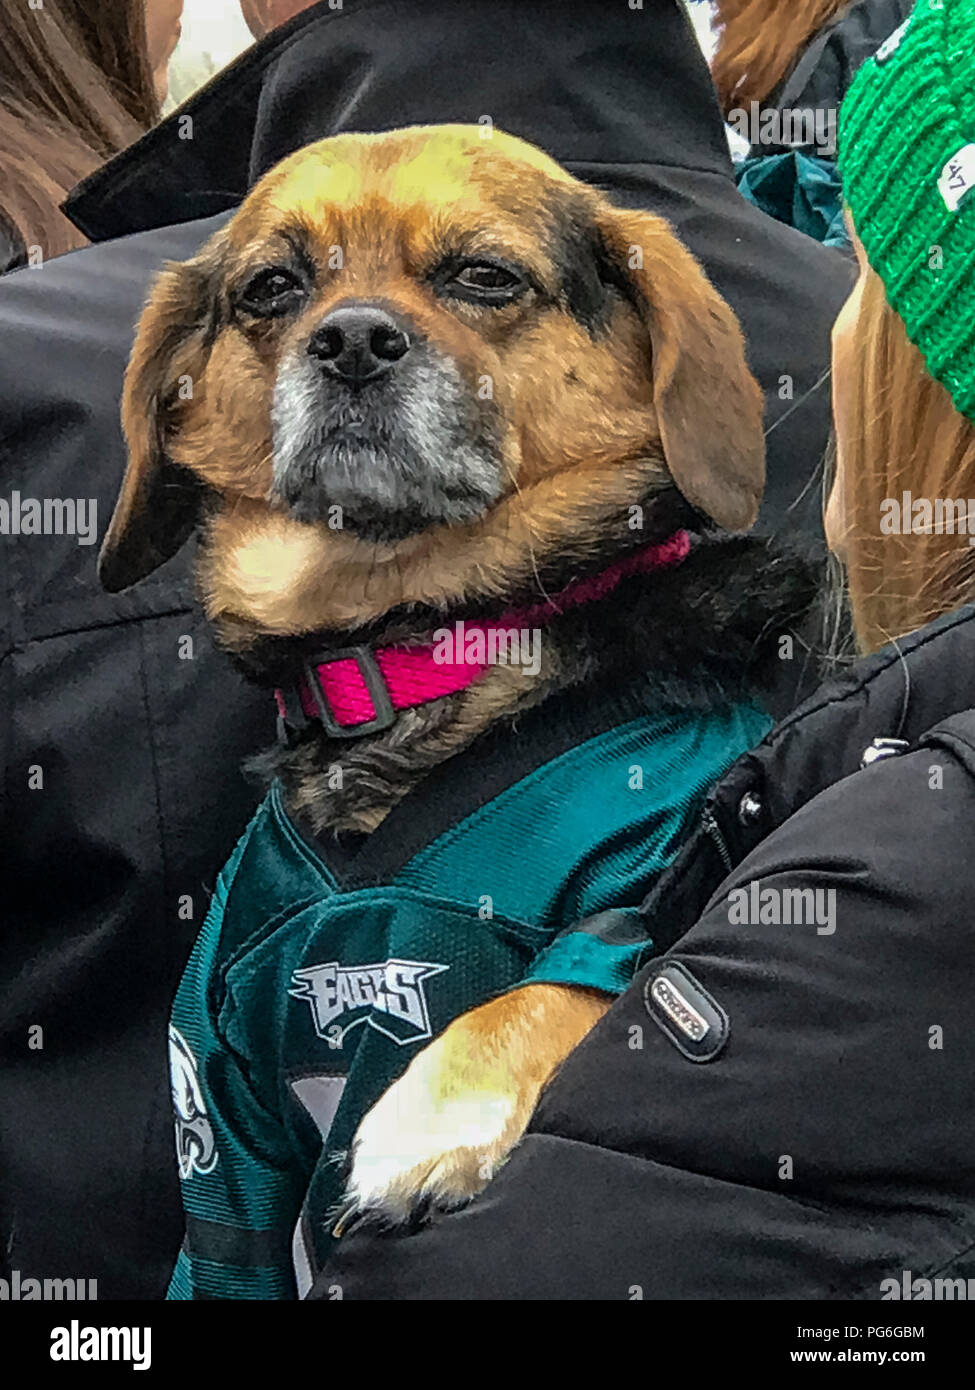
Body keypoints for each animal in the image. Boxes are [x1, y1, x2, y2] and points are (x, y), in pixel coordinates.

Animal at [96, 125, 806, 1284]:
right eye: (272, 287)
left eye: (483, 275)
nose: (350, 340)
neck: (414, 646)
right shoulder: (220, 1103)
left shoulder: (659, 879)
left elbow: (562, 979)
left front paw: (438, 1105)